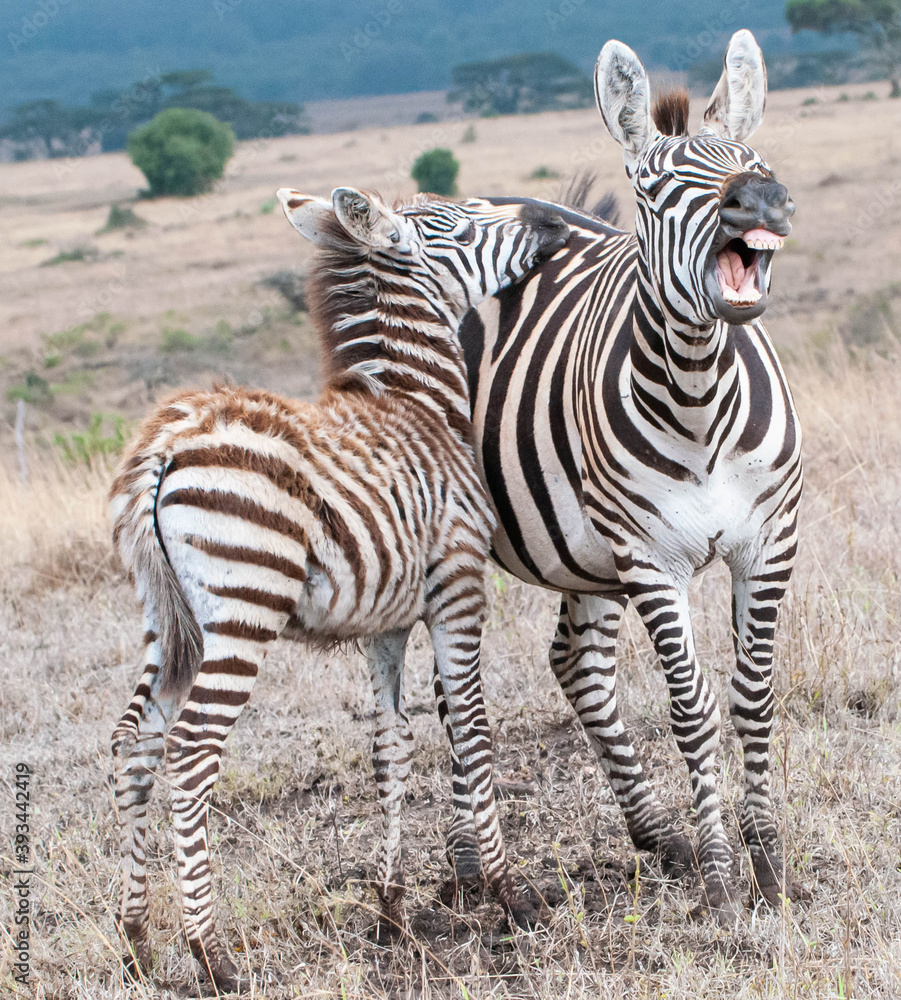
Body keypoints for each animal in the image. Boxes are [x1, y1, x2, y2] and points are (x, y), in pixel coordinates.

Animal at [108, 186, 569, 991]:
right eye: (455, 223)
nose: (550, 219)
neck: (420, 402)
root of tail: (163, 448)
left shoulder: (384, 622)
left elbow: (391, 745)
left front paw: (390, 913)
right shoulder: (457, 585)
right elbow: (473, 731)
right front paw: (511, 897)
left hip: (168, 620)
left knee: (138, 743)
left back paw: (137, 942)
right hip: (244, 608)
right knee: (190, 751)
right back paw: (212, 955)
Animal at [441, 30, 803, 921]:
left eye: (754, 160)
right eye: (654, 187)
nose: (760, 200)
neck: (701, 400)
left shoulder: (767, 543)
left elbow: (751, 697)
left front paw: (768, 865)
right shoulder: (651, 559)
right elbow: (691, 709)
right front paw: (721, 879)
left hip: (586, 559)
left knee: (575, 664)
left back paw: (653, 834)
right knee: (445, 687)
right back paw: (471, 869)